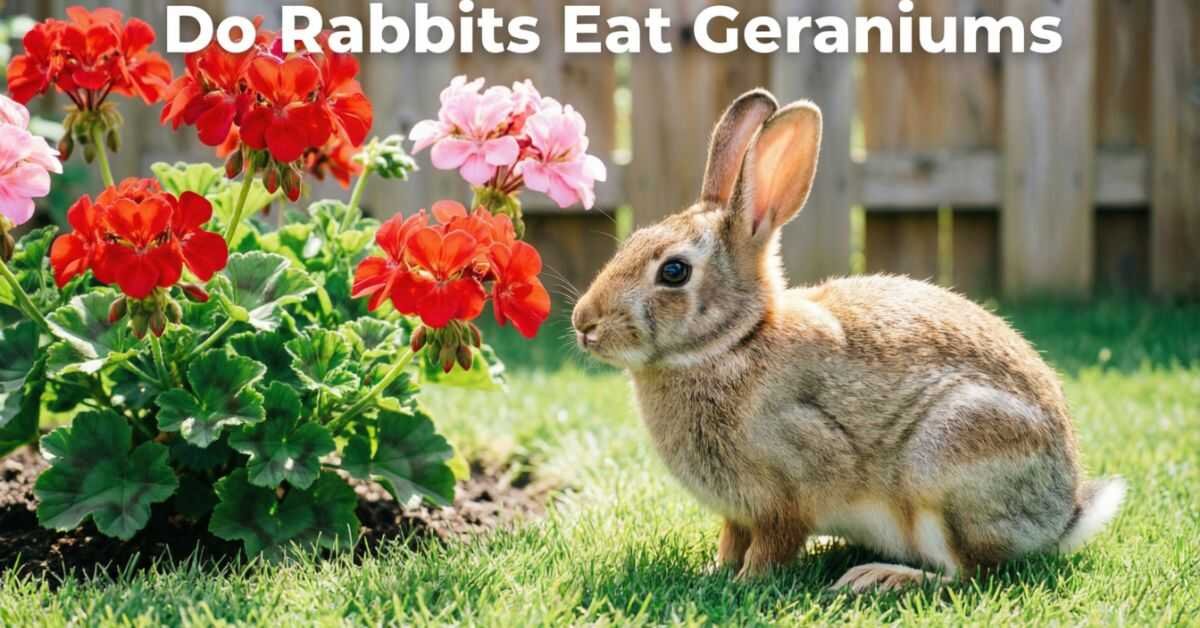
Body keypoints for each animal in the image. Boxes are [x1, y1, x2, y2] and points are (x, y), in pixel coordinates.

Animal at [570, 88, 1126, 592]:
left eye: (674, 272)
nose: (583, 323)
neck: (734, 341)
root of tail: (1061, 516)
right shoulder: (738, 511)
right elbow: (732, 538)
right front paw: (715, 572)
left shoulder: (790, 487)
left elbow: (772, 544)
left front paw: (745, 583)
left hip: (945, 464)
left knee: (967, 572)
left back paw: (880, 577)